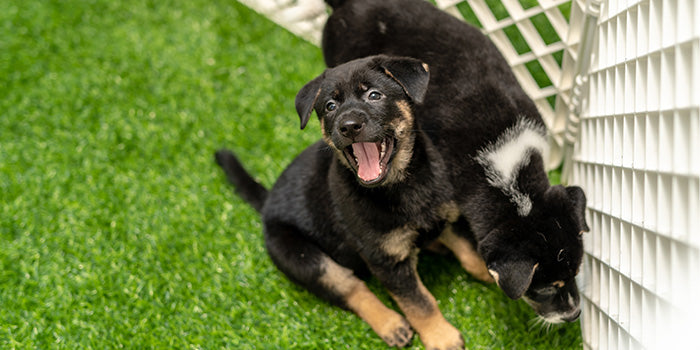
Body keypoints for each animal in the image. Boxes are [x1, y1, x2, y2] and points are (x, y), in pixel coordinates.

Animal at [216, 54, 490, 348]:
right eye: (330, 106)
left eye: (374, 95)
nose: (348, 127)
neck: (402, 185)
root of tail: (267, 204)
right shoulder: (386, 260)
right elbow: (418, 302)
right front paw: (440, 336)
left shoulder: (448, 218)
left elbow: (470, 256)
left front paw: (490, 274)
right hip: (303, 258)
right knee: (351, 287)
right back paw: (390, 324)